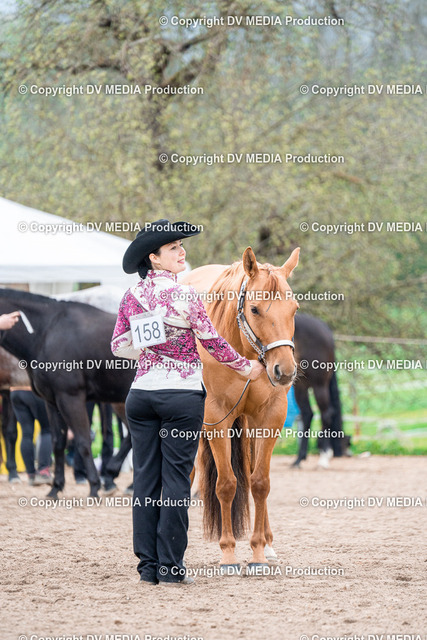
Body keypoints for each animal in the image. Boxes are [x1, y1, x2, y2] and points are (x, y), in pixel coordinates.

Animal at [0, 289, 135, 497]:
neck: (46, 332)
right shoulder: (52, 401)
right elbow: (58, 443)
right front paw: (55, 488)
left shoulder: (71, 398)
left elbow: (83, 442)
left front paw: (93, 487)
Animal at [182, 246, 299, 569]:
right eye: (255, 310)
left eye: (295, 309)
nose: (284, 371)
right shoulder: (216, 419)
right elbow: (226, 484)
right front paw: (228, 552)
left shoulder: (270, 417)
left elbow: (259, 483)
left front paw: (258, 550)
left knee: (251, 471)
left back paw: (268, 545)